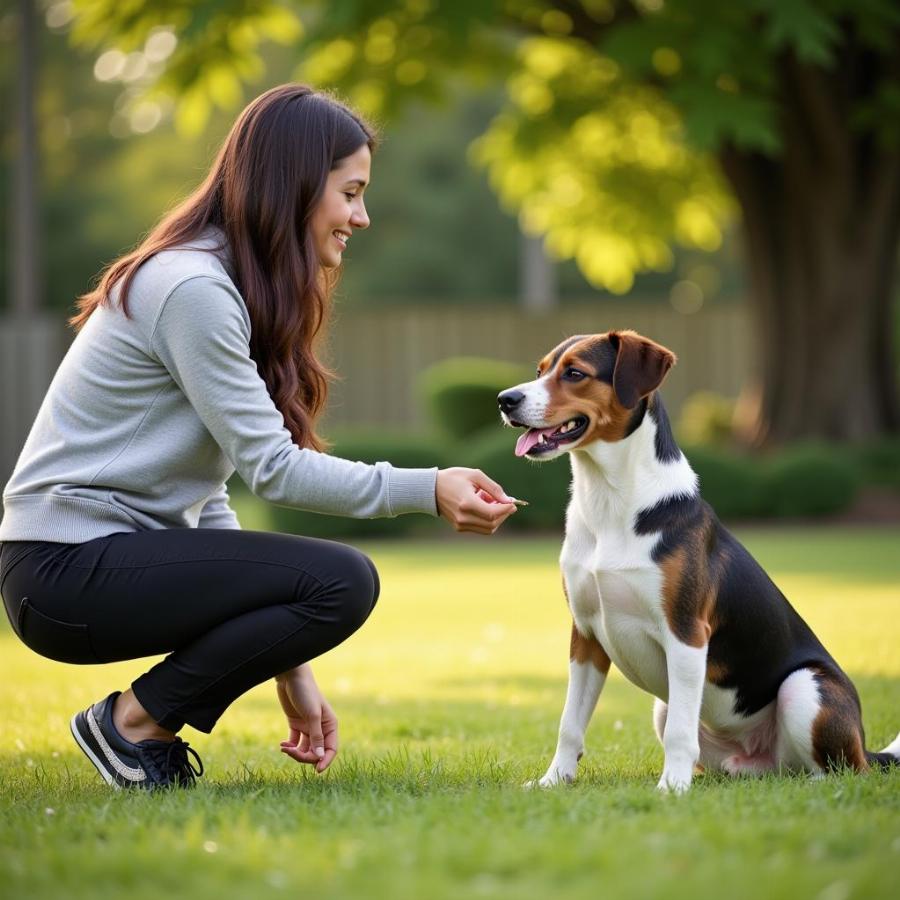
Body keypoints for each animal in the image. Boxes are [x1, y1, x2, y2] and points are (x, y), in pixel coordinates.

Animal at [500, 326, 900, 792]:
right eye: (540, 371)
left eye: (575, 373)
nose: (505, 399)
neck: (609, 502)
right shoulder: (585, 636)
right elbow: (570, 723)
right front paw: (553, 781)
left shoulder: (686, 632)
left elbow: (679, 731)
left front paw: (671, 789)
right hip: (679, 714)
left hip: (805, 687)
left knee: (845, 769)